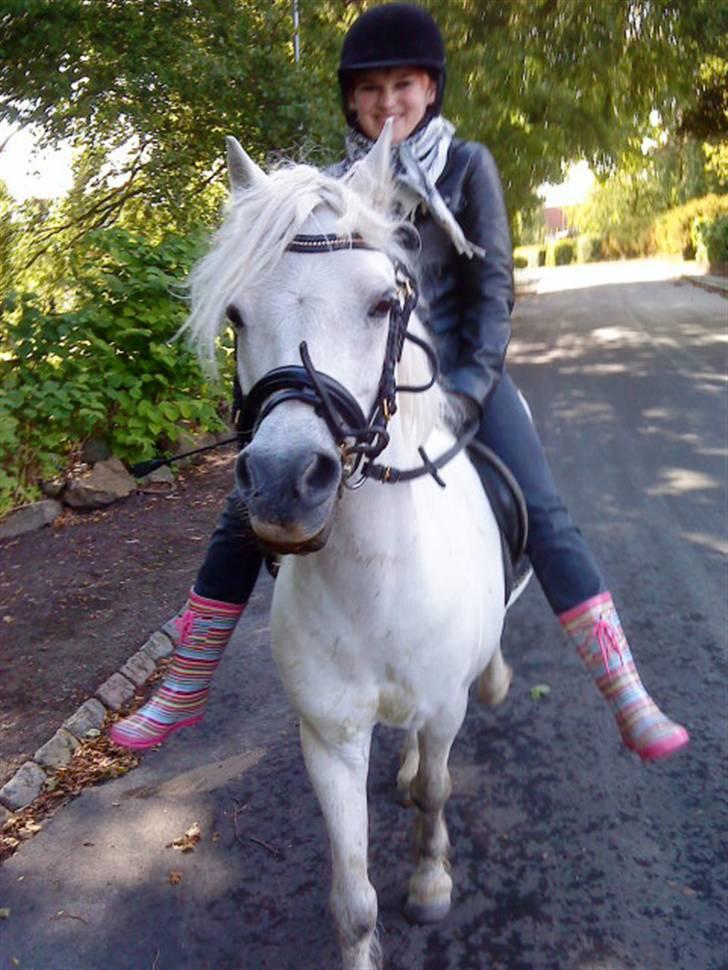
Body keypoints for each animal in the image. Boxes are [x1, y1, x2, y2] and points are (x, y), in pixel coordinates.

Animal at [184, 123, 519, 970]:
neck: (379, 590)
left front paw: (431, 883)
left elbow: (437, 790)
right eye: (235, 315)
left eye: (381, 303)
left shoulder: (443, 709)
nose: (283, 479)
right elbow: (353, 897)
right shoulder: (329, 738)